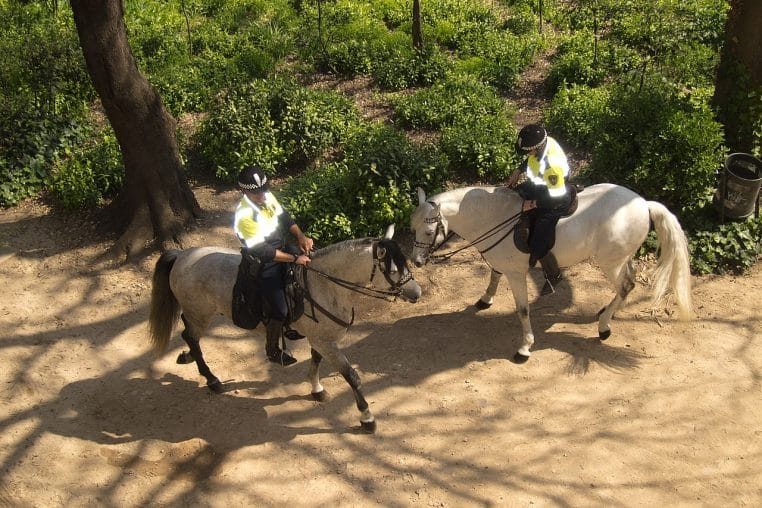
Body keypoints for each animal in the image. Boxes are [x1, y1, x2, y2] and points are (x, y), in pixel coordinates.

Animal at [148, 225, 421, 433]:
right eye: (393, 270)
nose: (416, 292)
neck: (325, 284)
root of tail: (182, 256)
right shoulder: (326, 342)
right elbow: (351, 376)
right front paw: (367, 418)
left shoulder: (320, 338)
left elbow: (315, 360)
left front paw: (316, 388)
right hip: (201, 314)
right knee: (191, 336)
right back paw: (212, 379)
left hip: (198, 314)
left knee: (187, 333)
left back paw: (188, 358)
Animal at [410, 184, 691, 363]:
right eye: (412, 228)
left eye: (428, 231)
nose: (416, 261)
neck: (495, 217)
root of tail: (643, 203)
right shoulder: (501, 264)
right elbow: (493, 276)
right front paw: (484, 299)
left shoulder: (516, 273)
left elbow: (522, 309)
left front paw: (524, 348)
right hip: (622, 258)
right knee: (628, 281)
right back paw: (606, 312)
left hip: (610, 262)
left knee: (625, 286)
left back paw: (604, 327)